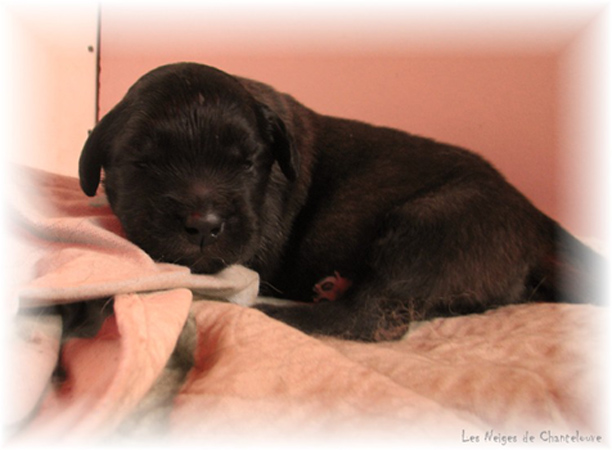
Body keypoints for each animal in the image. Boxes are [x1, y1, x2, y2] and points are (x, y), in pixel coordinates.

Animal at [79, 62, 604, 342]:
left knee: (370, 315)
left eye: (248, 164)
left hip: (430, 225)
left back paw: (272, 310)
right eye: (144, 163)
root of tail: (537, 222)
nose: (204, 225)